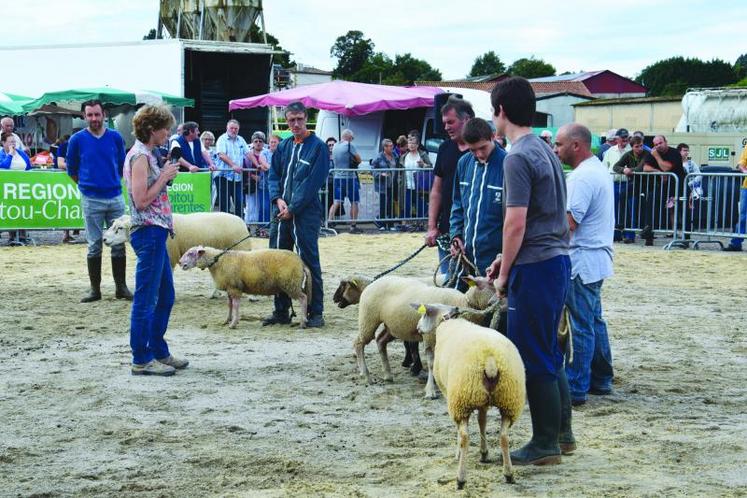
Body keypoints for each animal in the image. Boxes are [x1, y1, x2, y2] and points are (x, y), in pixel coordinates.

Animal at [180, 247, 312, 328]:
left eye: (191, 253)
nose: (181, 263)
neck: (218, 261)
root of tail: (301, 262)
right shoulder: (230, 288)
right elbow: (230, 305)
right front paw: (227, 320)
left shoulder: (235, 288)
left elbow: (236, 306)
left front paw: (233, 323)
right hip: (291, 284)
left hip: (292, 284)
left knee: (303, 298)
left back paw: (303, 322)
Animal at [356, 274, 500, 398]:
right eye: (491, 284)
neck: (464, 303)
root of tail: (373, 283)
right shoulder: (430, 337)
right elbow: (431, 363)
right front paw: (430, 390)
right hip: (368, 318)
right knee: (359, 343)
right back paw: (366, 376)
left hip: (392, 327)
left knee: (380, 340)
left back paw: (388, 375)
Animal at [414, 302, 524, 488]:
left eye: (424, 314)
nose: (417, 328)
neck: (447, 322)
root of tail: (490, 360)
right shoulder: (482, 401)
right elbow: (482, 421)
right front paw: (484, 453)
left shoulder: (448, 393)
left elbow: (460, 429)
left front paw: (458, 453)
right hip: (509, 399)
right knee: (504, 436)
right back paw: (508, 474)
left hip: (461, 399)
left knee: (465, 436)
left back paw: (460, 478)